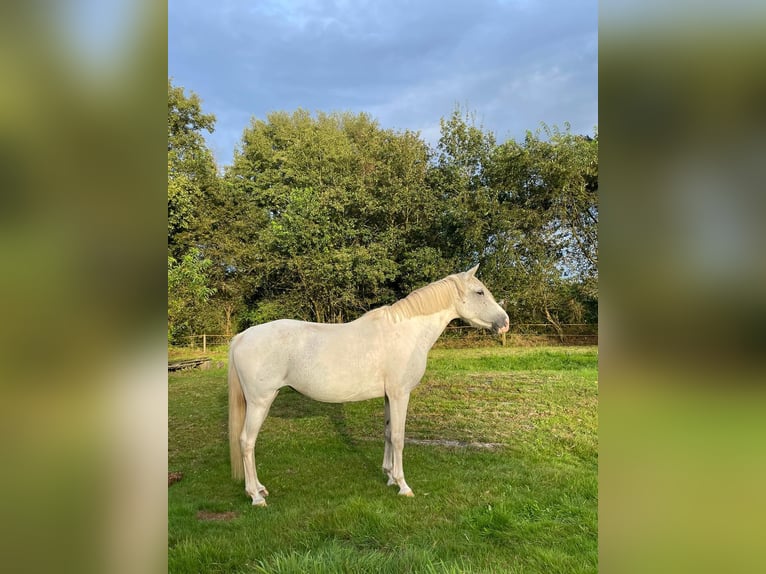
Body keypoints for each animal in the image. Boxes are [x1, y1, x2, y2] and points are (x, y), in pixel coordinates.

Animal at [231, 266, 512, 508]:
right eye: (479, 292)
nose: (505, 322)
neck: (406, 331)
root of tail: (242, 337)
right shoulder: (400, 394)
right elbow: (398, 437)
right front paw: (403, 485)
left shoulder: (389, 396)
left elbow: (387, 433)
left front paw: (389, 476)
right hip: (260, 402)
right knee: (247, 441)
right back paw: (256, 496)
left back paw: (259, 489)